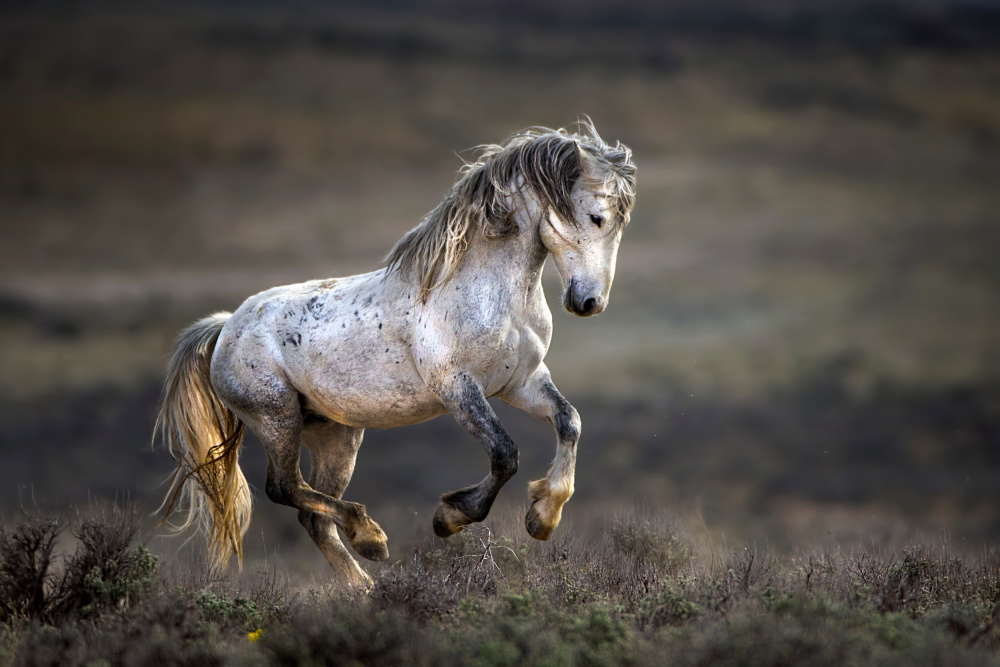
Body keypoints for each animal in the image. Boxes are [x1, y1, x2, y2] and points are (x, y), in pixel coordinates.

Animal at [159, 121, 636, 588]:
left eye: (620, 224)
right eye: (596, 217)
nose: (589, 302)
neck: (492, 293)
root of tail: (226, 328)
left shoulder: (521, 382)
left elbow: (569, 422)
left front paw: (542, 517)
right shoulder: (458, 389)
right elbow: (505, 454)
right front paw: (450, 517)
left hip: (334, 434)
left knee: (313, 516)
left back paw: (365, 587)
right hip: (276, 418)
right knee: (284, 488)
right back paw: (369, 535)